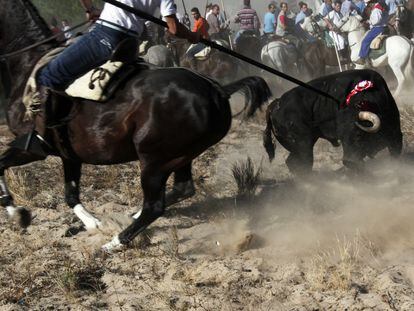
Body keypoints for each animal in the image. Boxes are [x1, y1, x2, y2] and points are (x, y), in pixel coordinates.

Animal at [0, 0, 272, 252]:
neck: (28, 63)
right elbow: (70, 194)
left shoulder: (34, 148)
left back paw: (115, 242)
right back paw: (131, 216)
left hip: (155, 159)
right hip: (181, 155)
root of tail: (218, 90)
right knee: (182, 189)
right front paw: (90, 223)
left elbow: (1, 164)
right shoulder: (69, 153)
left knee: (155, 206)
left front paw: (17, 213)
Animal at [264, 69, 402, 174]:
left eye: (358, 135)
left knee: (293, 163)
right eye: (341, 136)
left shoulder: (395, 136)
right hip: (302, 144)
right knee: (301, 163)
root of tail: (276, 103)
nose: (348, 162)